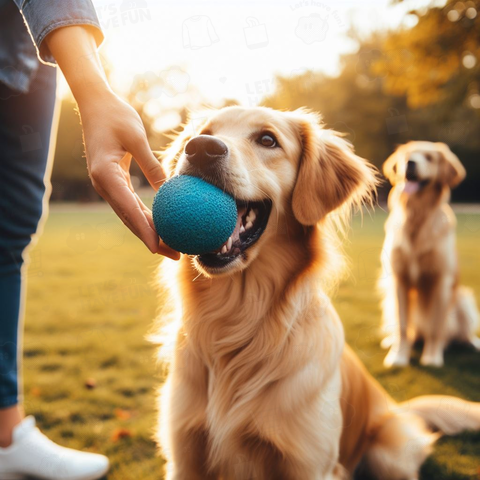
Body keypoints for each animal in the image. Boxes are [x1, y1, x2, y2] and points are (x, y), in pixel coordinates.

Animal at [378, 142, 480, 368]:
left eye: (429, 158)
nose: (410, 163)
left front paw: (432, 357)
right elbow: (402, 326)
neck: (417, 216)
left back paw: (472, 343)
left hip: (463, 301)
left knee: (460, 333)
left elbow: (435, 327)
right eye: (407, 155)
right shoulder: (399, 280)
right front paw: (398, 357)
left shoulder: (440, 280)